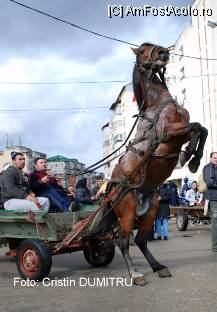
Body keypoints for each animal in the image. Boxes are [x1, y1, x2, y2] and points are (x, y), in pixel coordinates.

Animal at [109, 42, 208, 286]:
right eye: (142, 51)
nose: (164, 52)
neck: (157, 105)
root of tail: (111, 188)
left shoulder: (180, 133)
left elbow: (201, 128)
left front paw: (192, 158)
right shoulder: (170, 134)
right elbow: (196, 126)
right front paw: (189, 156)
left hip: (150, 211)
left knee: (141, 240)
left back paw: (158, 267)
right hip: (127, 212)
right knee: (123, 241)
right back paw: (135, 273)